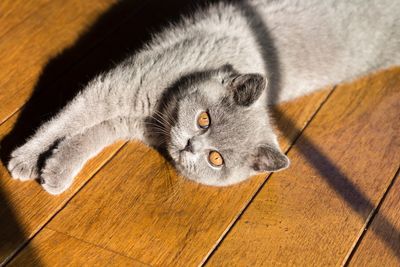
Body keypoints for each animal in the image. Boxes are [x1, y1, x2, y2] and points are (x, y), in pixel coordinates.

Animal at [7, 0, 400, 195]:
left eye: (215, 159)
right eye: (204, 119)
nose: (190, 146)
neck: (159, 111)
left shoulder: (126, 119)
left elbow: (85, 138)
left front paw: (55, 172)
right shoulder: (117, 87)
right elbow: (64, 120)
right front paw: (24, 160)